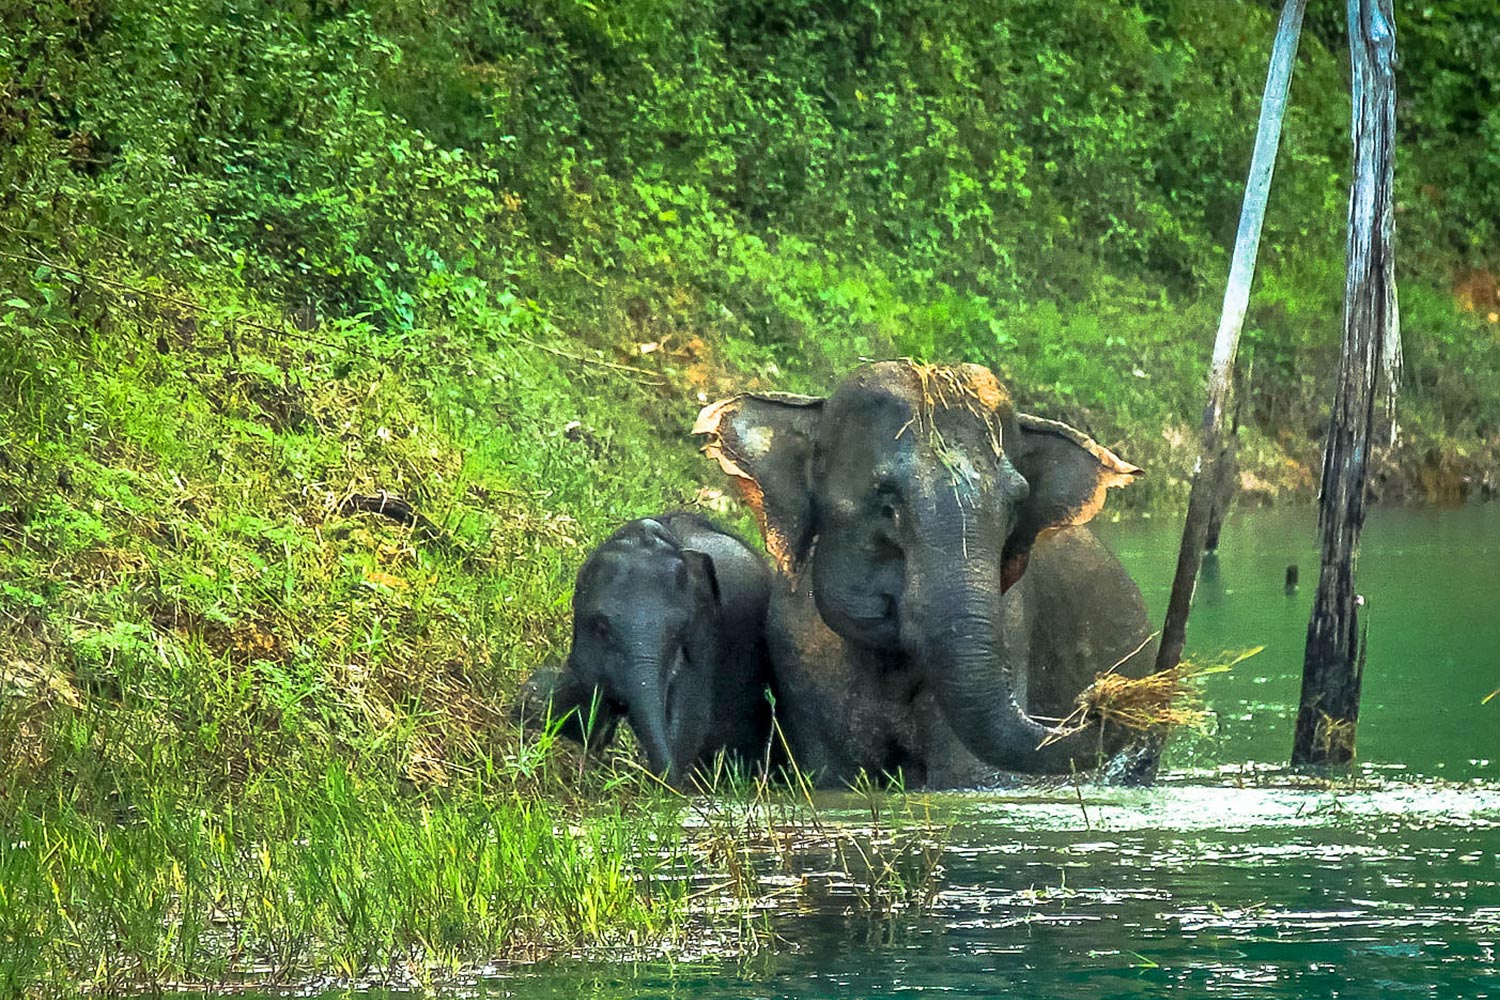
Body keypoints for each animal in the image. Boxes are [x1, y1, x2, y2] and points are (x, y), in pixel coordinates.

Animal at [696, 361, 1152, 791]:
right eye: (887, 505)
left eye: (1015, 505)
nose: (1099, 702)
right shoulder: (800, 654)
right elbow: (833, 777)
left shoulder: (1011, 628)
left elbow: (967, 777)